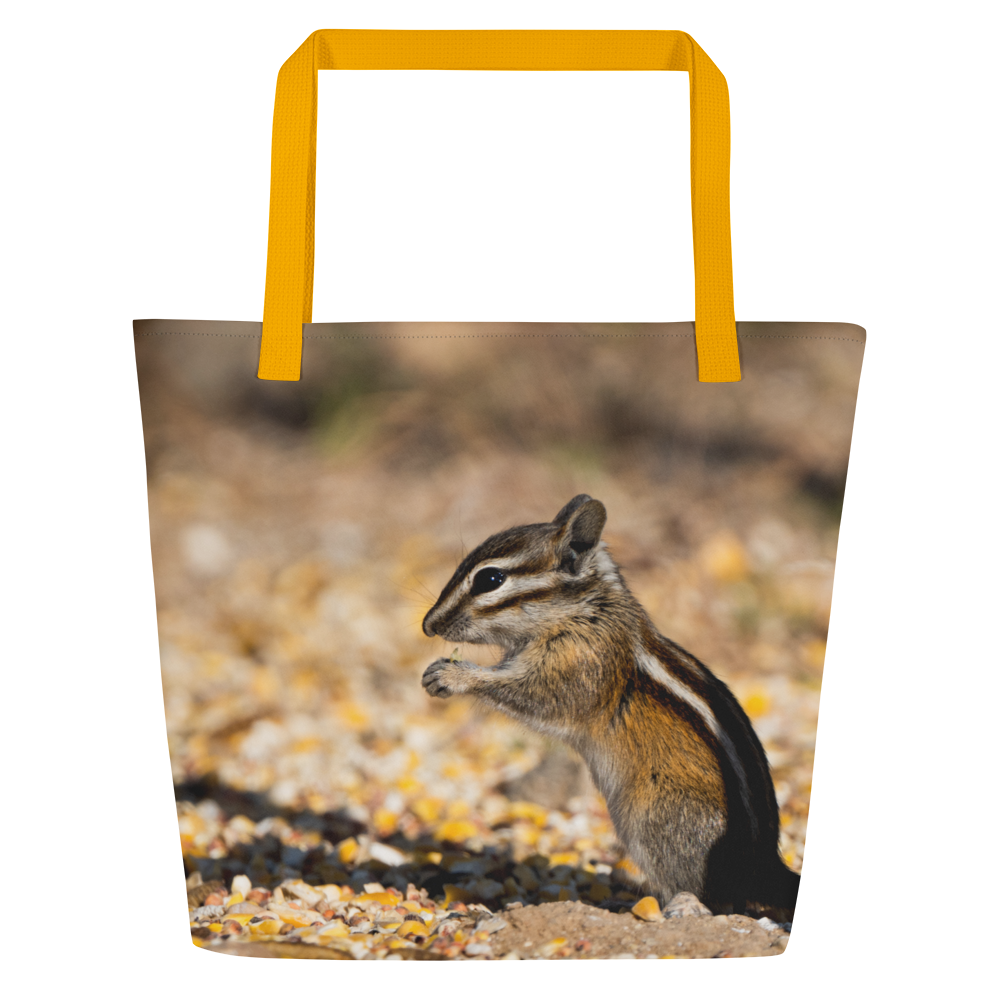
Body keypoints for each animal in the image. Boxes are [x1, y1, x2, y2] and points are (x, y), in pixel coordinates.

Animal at [422, 495, 801, 920]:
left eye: (490, 579)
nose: (428, 625)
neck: (586, 609)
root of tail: (764, 869)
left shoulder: (579, 666)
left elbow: (537, 696)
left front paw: (453, 675)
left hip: (655, 819)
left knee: (714, 900)